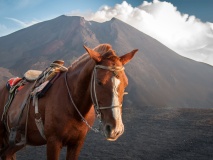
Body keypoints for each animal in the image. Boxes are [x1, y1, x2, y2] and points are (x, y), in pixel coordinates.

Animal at [0, 43, 137, 160]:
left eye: (126, 83)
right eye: (99, 82)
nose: (115, 129)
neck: (73, 105)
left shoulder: (77, 144)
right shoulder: (53, 142)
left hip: (18, 140)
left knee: (6, 154)